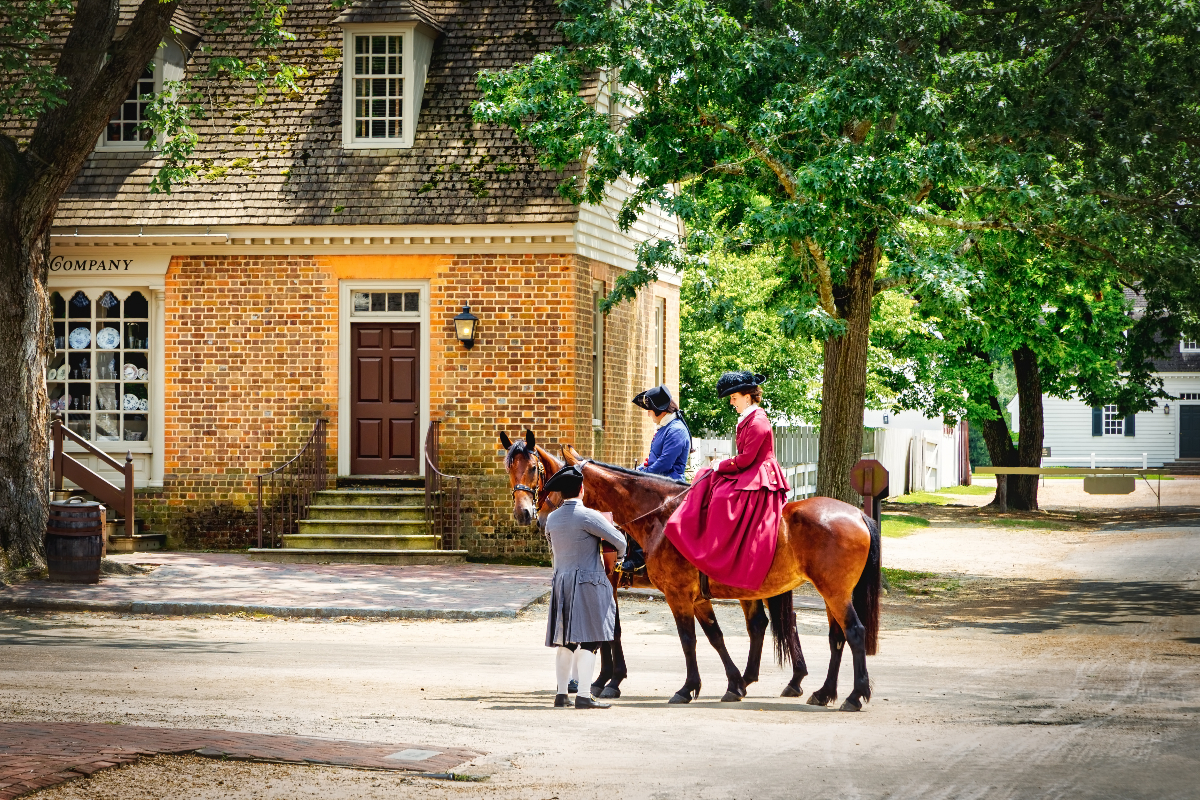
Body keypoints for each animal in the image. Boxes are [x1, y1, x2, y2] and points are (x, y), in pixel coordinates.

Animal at [496, 431, 806, 700]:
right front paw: (601, 679)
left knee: (776, 622)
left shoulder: (609, 580)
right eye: (509, 469)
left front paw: (608, 680)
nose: (527, 515)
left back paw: (785, 679)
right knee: (762, 623)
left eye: (534, 469)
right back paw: (762, 678)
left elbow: (612, 630)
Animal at [561, 443, 883, 714]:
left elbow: (684, 639)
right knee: (830, 636)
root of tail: (857, 515)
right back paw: (821, 691)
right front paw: (734, 684)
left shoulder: (675, 594)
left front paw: (681, 688)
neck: (662, 515)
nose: (549, 520)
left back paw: (853, 695)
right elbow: (714, 636)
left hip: (833, 593)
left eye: (557, 482)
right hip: (826, 594)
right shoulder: (696, 598)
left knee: (853, 632)